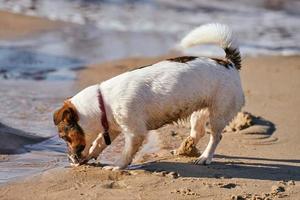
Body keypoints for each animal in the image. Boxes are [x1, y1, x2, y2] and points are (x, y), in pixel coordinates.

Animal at [53, 23, 244, 170]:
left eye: (64, 137)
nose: (69, 159)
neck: (102, 103)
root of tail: (229, 63)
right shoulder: (113, 128)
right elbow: (98, 143)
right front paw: (91, 155)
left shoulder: (134, 133)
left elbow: (126, 152)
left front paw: (117, 166)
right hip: (199, 112)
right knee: (198, 132)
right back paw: (183, 150)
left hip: (218, 113)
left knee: (216, 136)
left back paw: (205, 157)